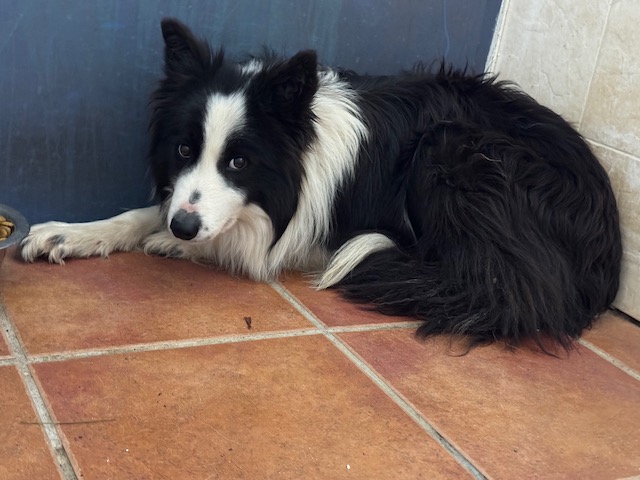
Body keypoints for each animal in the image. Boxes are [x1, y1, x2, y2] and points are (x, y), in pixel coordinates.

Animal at [21, 18, 622, 351]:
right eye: (185, 150)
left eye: (239, 162)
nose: (185, 228)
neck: (298, 158)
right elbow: (148, 209)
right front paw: (70, 234)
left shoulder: (297, 225)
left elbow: (244, 241)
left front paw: (174, 242)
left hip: (450, 147)